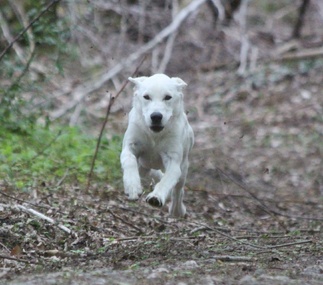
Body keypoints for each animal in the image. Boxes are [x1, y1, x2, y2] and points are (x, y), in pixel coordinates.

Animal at [120, 74, 194, 217]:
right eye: (146, 97)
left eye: (168, 97)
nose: (156, 116)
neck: (154, 136)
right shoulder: (130, 146)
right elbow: (129, 160)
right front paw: (133, 187)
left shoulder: (173, 161)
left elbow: (167, 181)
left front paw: (156, 197)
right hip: (143, 166)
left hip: (184, 167)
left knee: (178, 190)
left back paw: (177, 210)